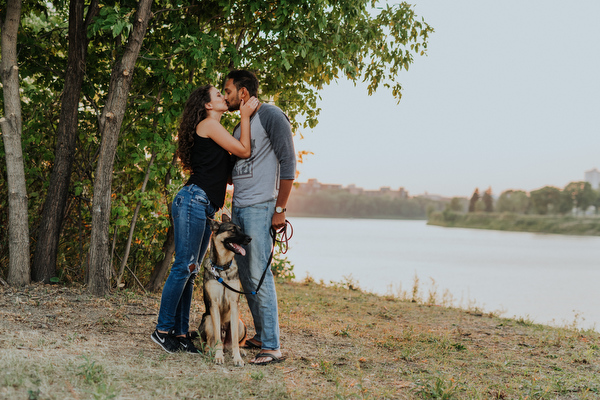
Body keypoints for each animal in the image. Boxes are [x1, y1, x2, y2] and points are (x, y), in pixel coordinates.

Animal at [199, 216, 251, 366]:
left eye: (240, 229)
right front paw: (218, 356)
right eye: (232, 230)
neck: (222, 268)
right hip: (207, 319)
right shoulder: (214, 305)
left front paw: (237, 358)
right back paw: (210, 351)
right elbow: (217, 337)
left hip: (240, 323)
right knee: (210, 342)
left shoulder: (234, 304)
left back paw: (240, 350)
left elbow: (234, 340)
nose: (250, 238)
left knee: (232, 343)